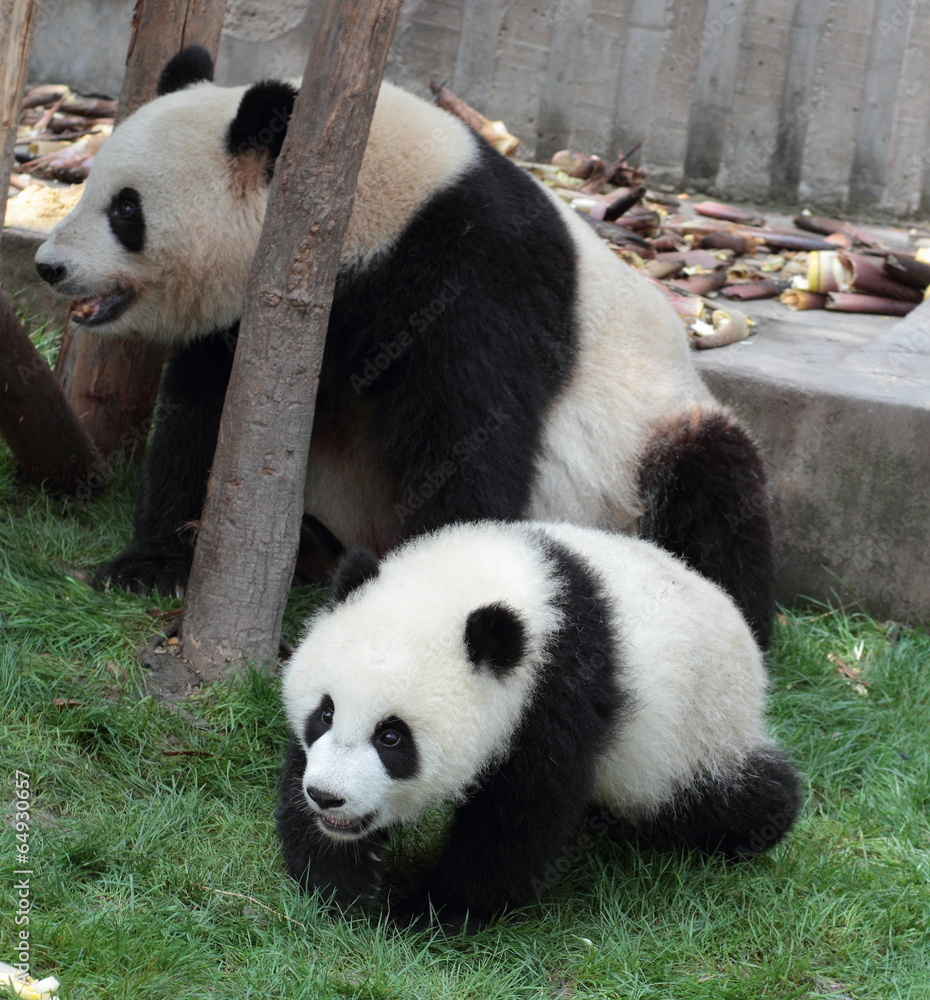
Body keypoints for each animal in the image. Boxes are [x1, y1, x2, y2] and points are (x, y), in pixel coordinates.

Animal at [35, 46, 775, 646]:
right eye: (90, 187)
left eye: (126, 211)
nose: (49, 266)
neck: (358, 209)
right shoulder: (256, 320)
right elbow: (208, 425)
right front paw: (150, 565)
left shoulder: (468, 276)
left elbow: (466, 440)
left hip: (645, 439)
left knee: (713, 484)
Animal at [277, 520, 801, 931]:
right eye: (325, 713)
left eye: (391, 737)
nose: (327, 796)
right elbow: (299, 773)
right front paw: (341, 881)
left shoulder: (558, 689)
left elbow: (522, 812)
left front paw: (434, 911)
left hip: (698, 729)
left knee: (723, 797)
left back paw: (763, 821)